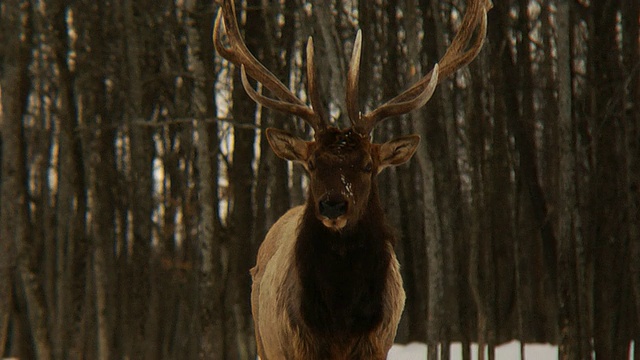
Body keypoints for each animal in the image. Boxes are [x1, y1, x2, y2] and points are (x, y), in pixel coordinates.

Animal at [215, 0, 490, 358]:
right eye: (311, 163)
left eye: (367, 165)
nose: (333, 205)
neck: (340, 318)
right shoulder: (297, 344)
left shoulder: (377, 342)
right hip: (264, 342)